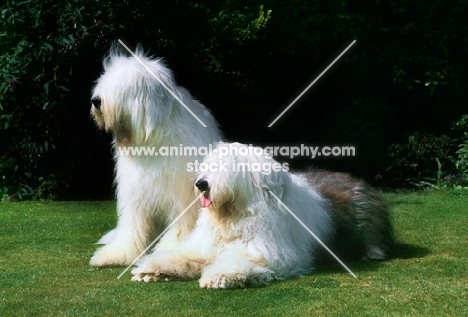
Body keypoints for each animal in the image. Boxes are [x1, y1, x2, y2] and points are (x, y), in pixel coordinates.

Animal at [89, 44, 221, 266]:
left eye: (122, 89)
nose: (95, 101)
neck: (151, 138)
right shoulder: (135, 193)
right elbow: (132, 227)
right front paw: (116, 254)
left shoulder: (182, 196)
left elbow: (180, 228)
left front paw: (169, 250)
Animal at [132, 142, 394, 288]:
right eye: (208, 165)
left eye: (228, 166)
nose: (201, 183)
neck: (234, 216)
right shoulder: (205, 246)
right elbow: (183, 256)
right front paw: (150, 270)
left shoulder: (268, 253)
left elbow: (241, 261)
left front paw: (219, 276)